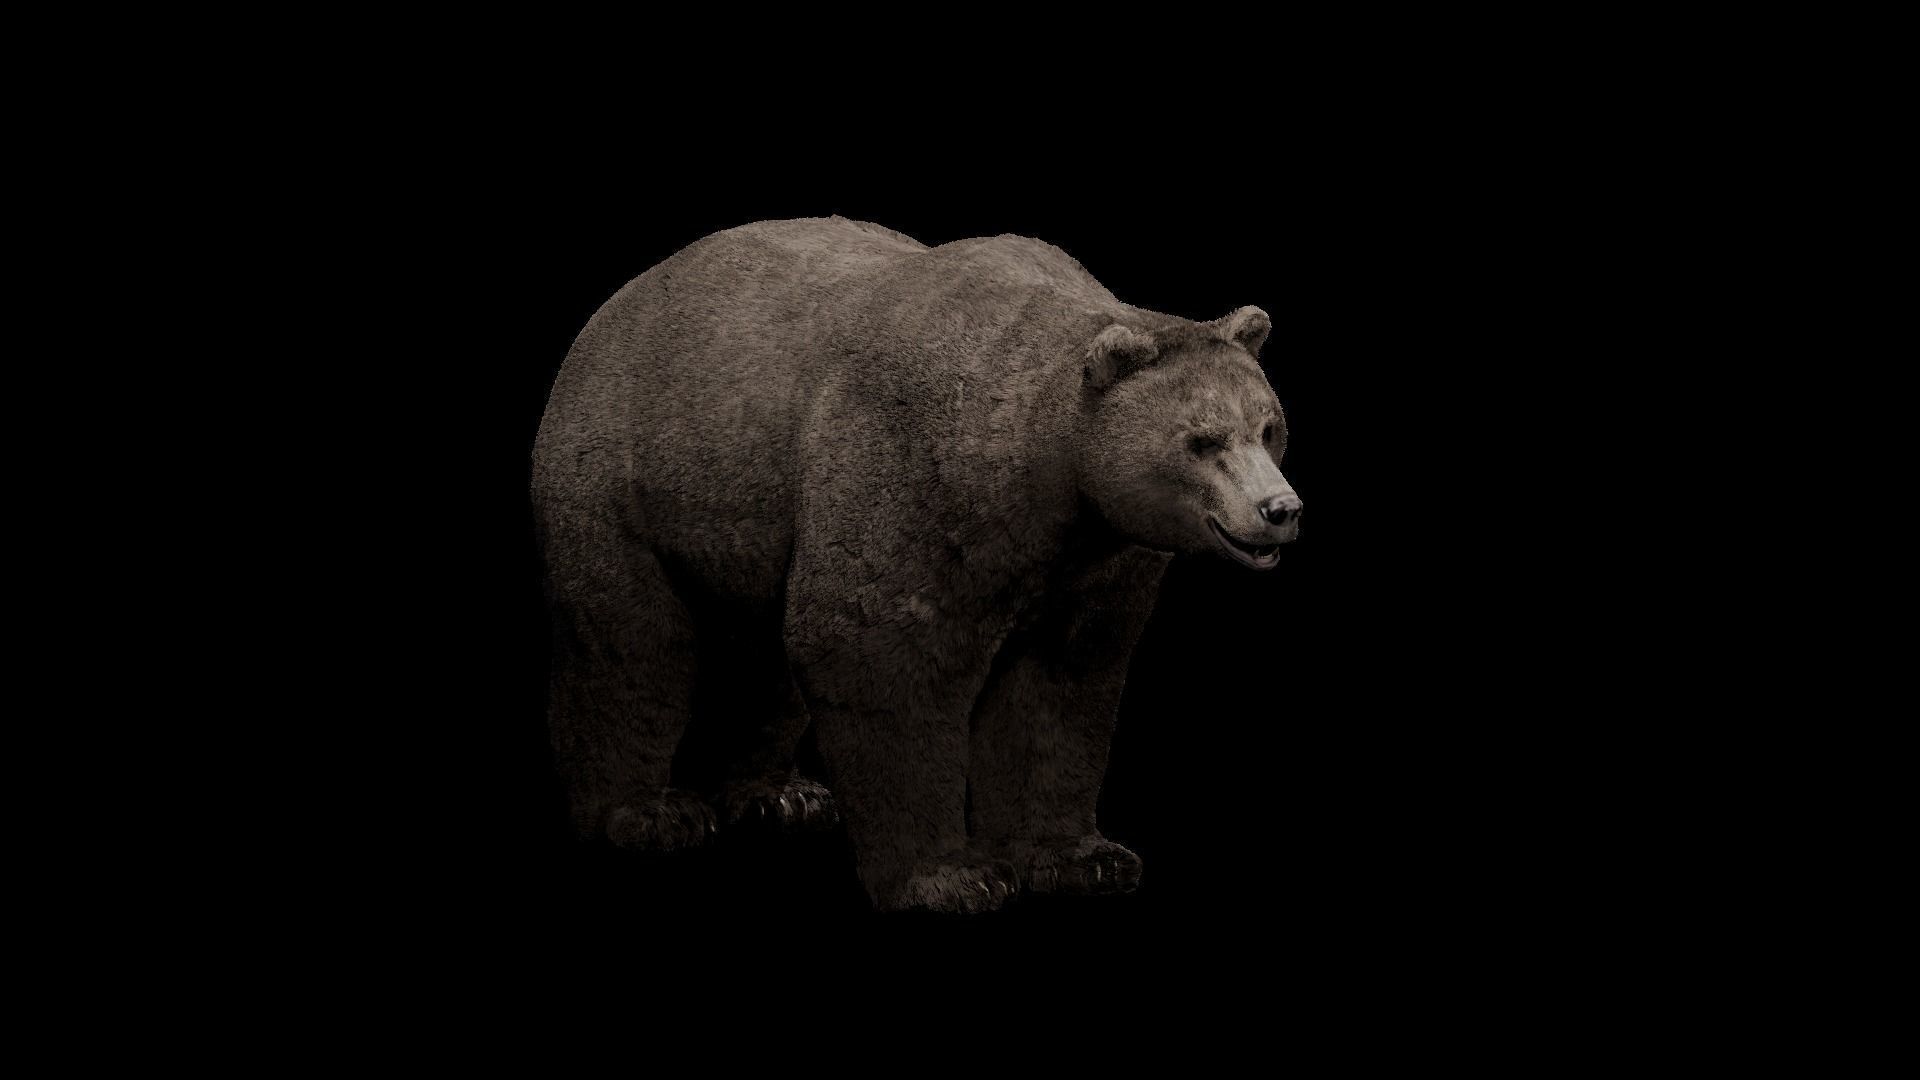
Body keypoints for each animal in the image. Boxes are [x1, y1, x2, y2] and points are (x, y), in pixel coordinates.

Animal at [532, 216, 1301, 913]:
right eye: (1202, 440)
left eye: (1268, 426)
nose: (1279, 509)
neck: (1048, 475)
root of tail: (614, 307)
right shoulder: (913, 476)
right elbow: (879, 650)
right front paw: (952, 875)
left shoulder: (1096, 563)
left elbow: (1059, 685)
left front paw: (1083, 857)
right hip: (626, 480)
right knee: (631, 647)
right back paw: (648, 812)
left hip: (757, 522)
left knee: (763, 652)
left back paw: (779, 796)